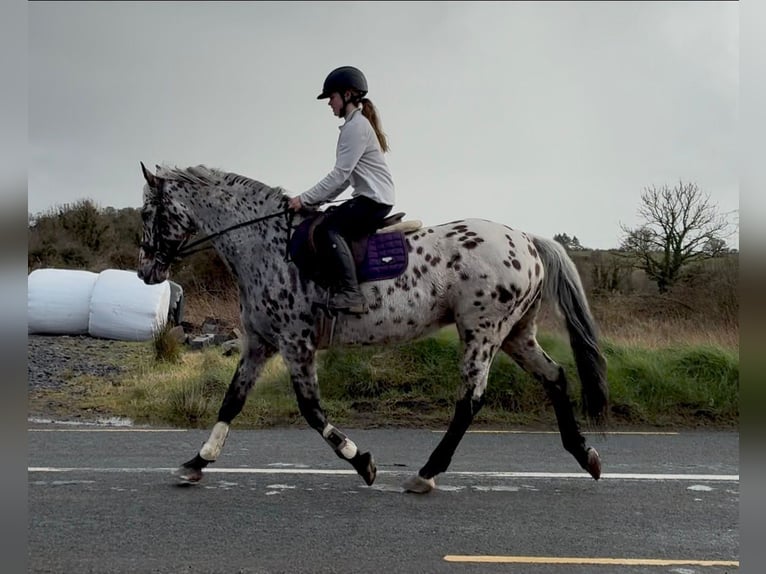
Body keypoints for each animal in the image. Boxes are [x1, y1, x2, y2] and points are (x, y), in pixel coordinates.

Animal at [137, 162, 609, 494]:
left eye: (147, 212)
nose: (145, 272)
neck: (267, 246)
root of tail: (527, 240)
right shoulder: (260, 343)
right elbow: (231, 402)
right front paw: (196, 463)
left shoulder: (295, 342)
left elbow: (312, 410)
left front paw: (362, 461)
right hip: (515, 334)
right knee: (555, 377)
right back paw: (585, 455)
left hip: (483, 330)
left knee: (470, 401)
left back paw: (426, 474)